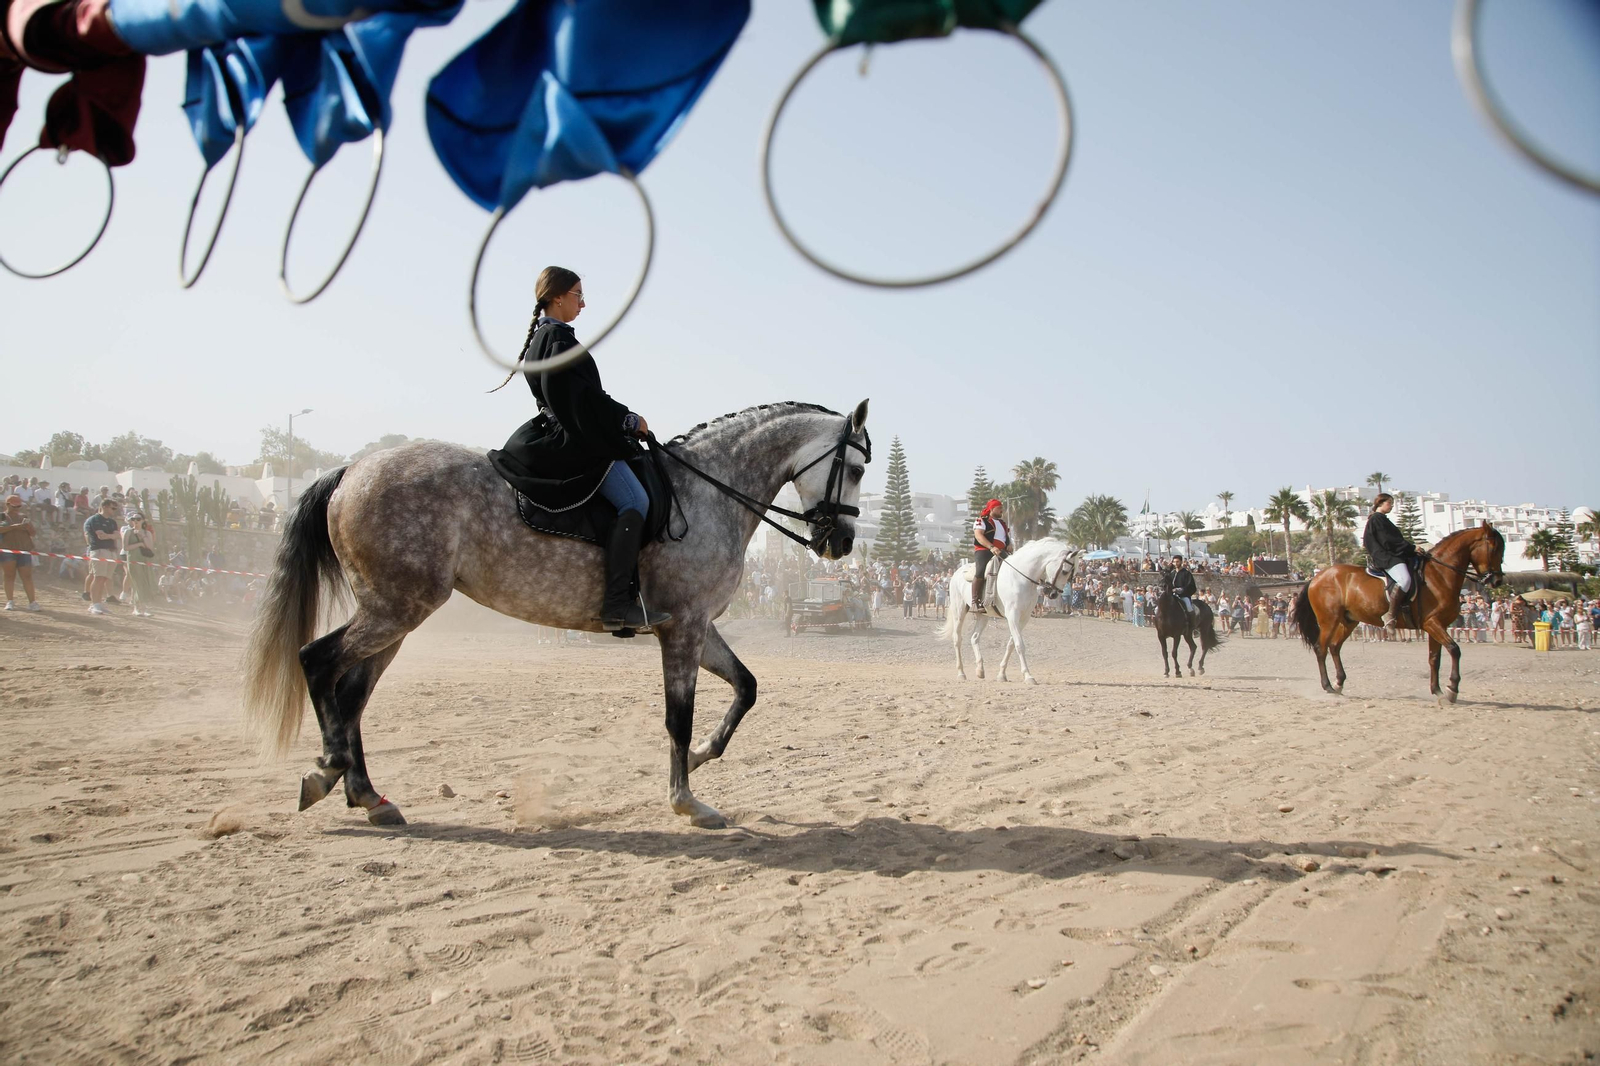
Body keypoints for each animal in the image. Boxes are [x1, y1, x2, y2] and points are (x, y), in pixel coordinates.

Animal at [242, 400, 871, 831]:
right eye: (859, 470)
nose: (842, 541)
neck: (709, 492)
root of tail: (352, 470)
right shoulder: (684, 628)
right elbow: (679, 718)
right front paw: (686, 800)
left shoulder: (697, 625)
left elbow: (746, 687)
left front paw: (699, 760)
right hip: (395, 609)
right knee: (317, 661)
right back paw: (327, 771)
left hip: (396, 614)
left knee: (351, 695)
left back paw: (366, 794)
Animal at [938, 539, 1080, 685]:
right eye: (1065, 571)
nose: (1053, 594)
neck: (1021, 577)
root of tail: (957, 572)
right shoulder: (1012, 616)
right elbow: (1019, 645)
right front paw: (1028, 676)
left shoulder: (1024, 618)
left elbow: (1011, 644)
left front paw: (1002, 675)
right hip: (959, 611)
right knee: (957, 639)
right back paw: (961, 673)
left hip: (983, 615)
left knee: (974, 638)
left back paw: (980, 670)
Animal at [1292, 521, 1505, 703]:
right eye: (1494, 548)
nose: (1497, 581)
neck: (1439, 575)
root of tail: (1316, 578)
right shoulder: (1432, 623)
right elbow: (1454, 650)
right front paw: (1452, 689)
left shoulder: (1437, 625)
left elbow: (1434, 658)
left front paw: (1437, 691)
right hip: (1329, 621)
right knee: (1321, 649)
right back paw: (1327, 686)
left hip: (1349, 621)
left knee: (1334, 647)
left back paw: (1338, 683)